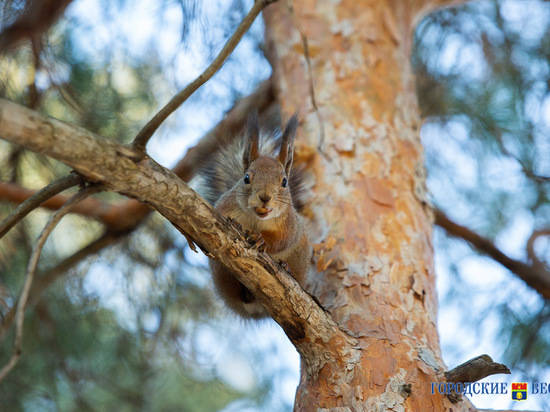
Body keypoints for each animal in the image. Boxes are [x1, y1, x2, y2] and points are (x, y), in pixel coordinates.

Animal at [201, 112, 312, 318]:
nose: (265, 197)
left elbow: (283, 240)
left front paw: (262, 240)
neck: (256, 219)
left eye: (284, 182)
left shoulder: (290, 224)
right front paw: (237, 226)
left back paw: (286, 268)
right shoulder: (223, 207)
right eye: (246, 178)